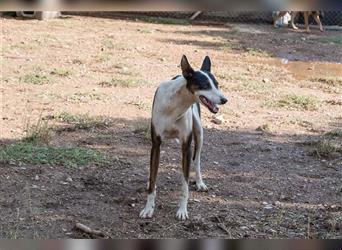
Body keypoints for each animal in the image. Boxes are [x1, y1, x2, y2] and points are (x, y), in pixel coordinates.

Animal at [139, 55, 227, 220]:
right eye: (205, 85)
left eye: (217, 85)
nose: (224, 99)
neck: (175, 106)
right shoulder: (156, 145)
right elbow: (153, 178)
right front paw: (148, 208)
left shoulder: (186, 146)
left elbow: (185, 184)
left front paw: (182, 210)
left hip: (199, 134)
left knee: (197, 160)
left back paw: (199, 183)